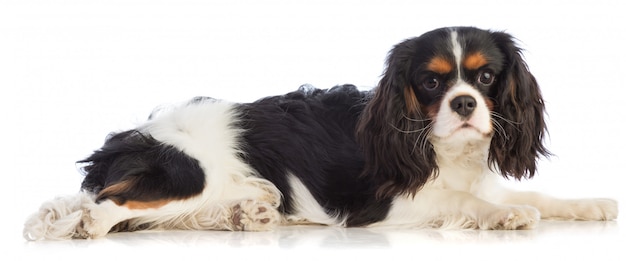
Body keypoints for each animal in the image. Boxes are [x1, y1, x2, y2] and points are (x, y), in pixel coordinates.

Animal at [23, 26, 616, 240]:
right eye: (431, 83)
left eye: (486, 77)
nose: (466, 102)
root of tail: (128, 138)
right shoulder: (383, 204)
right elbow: (464, 201)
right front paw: (504, 216)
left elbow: (540, 194)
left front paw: (592, 204)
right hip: (189, 174)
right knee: (105, 206)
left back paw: (250, 214)